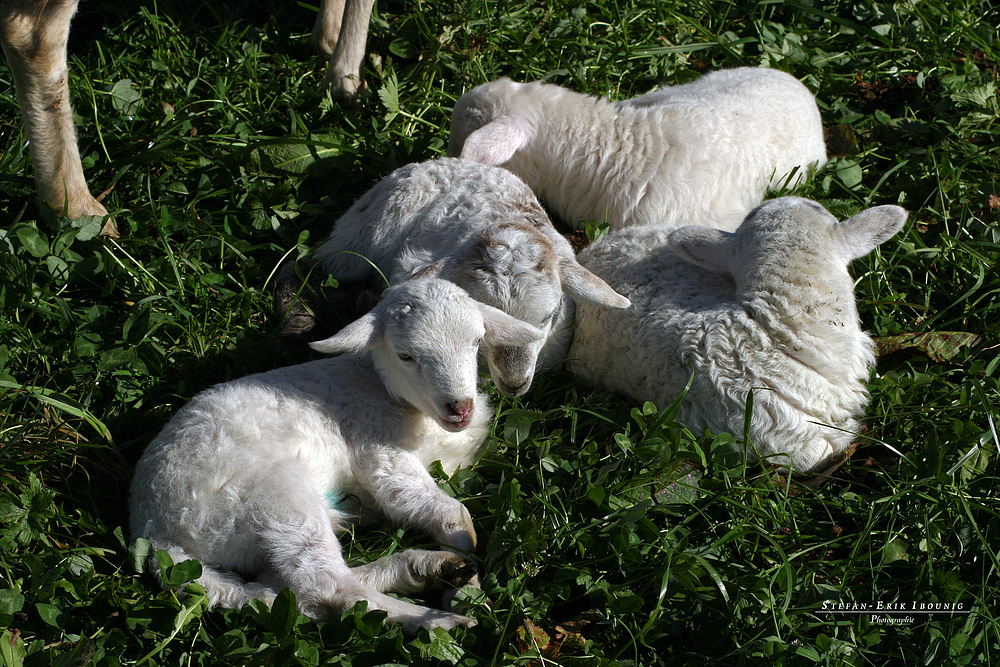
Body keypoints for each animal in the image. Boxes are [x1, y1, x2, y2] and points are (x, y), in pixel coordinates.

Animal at [131, 280, 548, 636]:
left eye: (477, 341)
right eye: (406, 355)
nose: (460, 407)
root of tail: (154, 529)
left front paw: (461, 576)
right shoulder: (377, 448)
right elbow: (443, 510)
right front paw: (468, 587)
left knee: (289, 592)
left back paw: (428, 568)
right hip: (272, 497)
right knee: (326, 588)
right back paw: (436, 618)